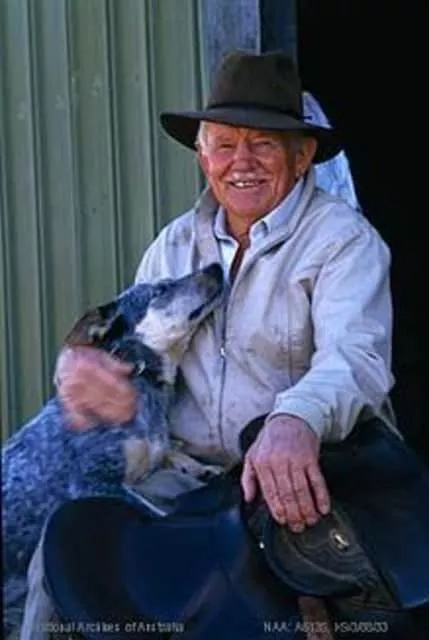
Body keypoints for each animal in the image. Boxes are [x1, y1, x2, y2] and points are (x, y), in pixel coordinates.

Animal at [2, 262, 225, 636]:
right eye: (160, 290)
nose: (216, 266)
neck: (142, 382)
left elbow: (169, 451)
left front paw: (200, 466)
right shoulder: (94, 482)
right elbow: (153, 509)